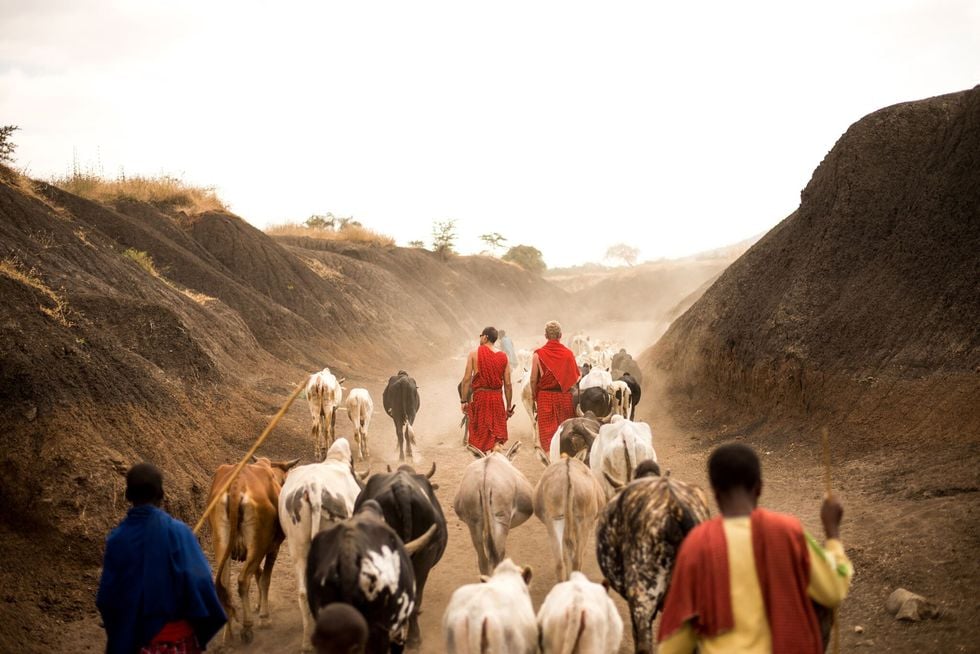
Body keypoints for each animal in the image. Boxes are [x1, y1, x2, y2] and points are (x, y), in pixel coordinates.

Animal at [208, 456, 296, 644]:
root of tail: (236, 486)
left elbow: (258, 573)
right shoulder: (272, 547)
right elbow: (264, 578)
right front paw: (264, 616)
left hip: (221, 544)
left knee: (225, 584)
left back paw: (228, 633)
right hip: (258, 546)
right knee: (242, 581)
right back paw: (247, 627)